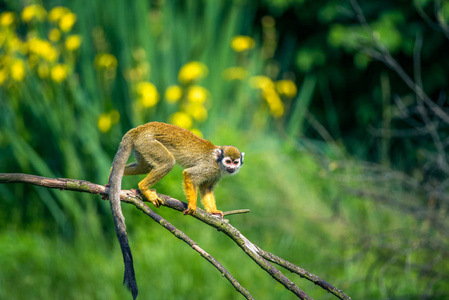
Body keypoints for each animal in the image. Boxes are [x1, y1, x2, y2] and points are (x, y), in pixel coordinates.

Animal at [107, 120, 243, 298]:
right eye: (228, 161)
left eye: (235, 162)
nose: (232, 168)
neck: (218, 163)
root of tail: (139, 128)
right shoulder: (209, 167)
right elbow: (190, 175)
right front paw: (192, 206)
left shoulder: (216, 173)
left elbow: (206, 188)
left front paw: (213, 211)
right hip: (148, 143)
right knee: (167, 162)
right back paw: (143, 187)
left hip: (142, 147)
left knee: (144, 167)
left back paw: (111, 177)